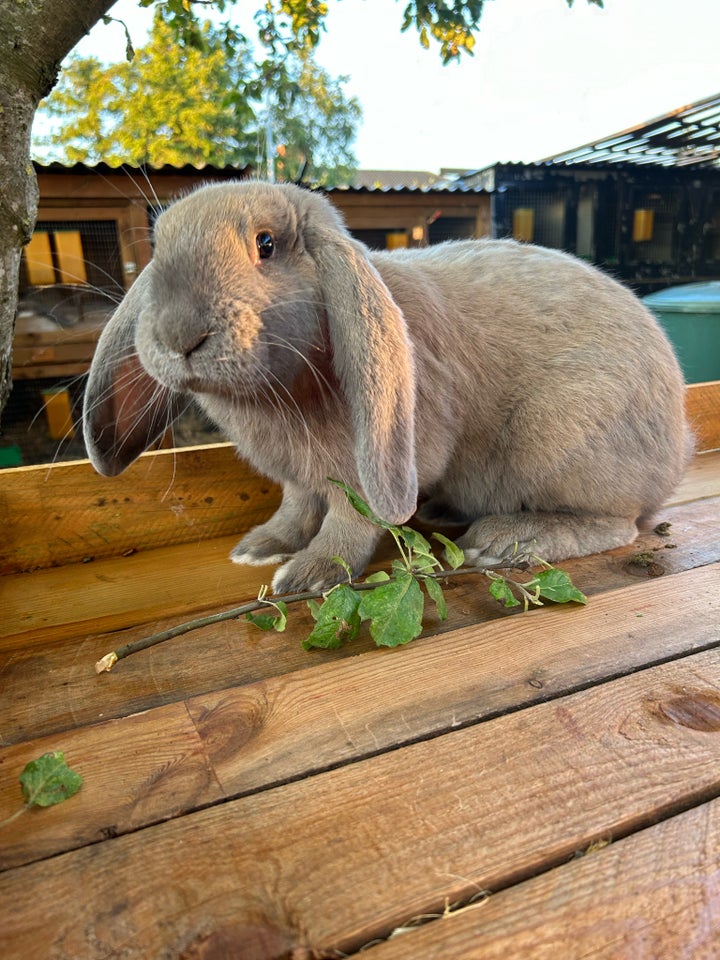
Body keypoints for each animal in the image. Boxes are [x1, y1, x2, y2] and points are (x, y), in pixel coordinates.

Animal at [83, 180, 692, 592]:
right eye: (158, 246)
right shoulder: (299, 480)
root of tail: (678, 443)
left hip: (559, 443)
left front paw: (310, 575)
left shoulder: (367, 470)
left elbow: (353, 520)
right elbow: (296, 509)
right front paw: (261, 548)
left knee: (619, 525)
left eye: (266, 244)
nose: (178, 335)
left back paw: (507, 541)